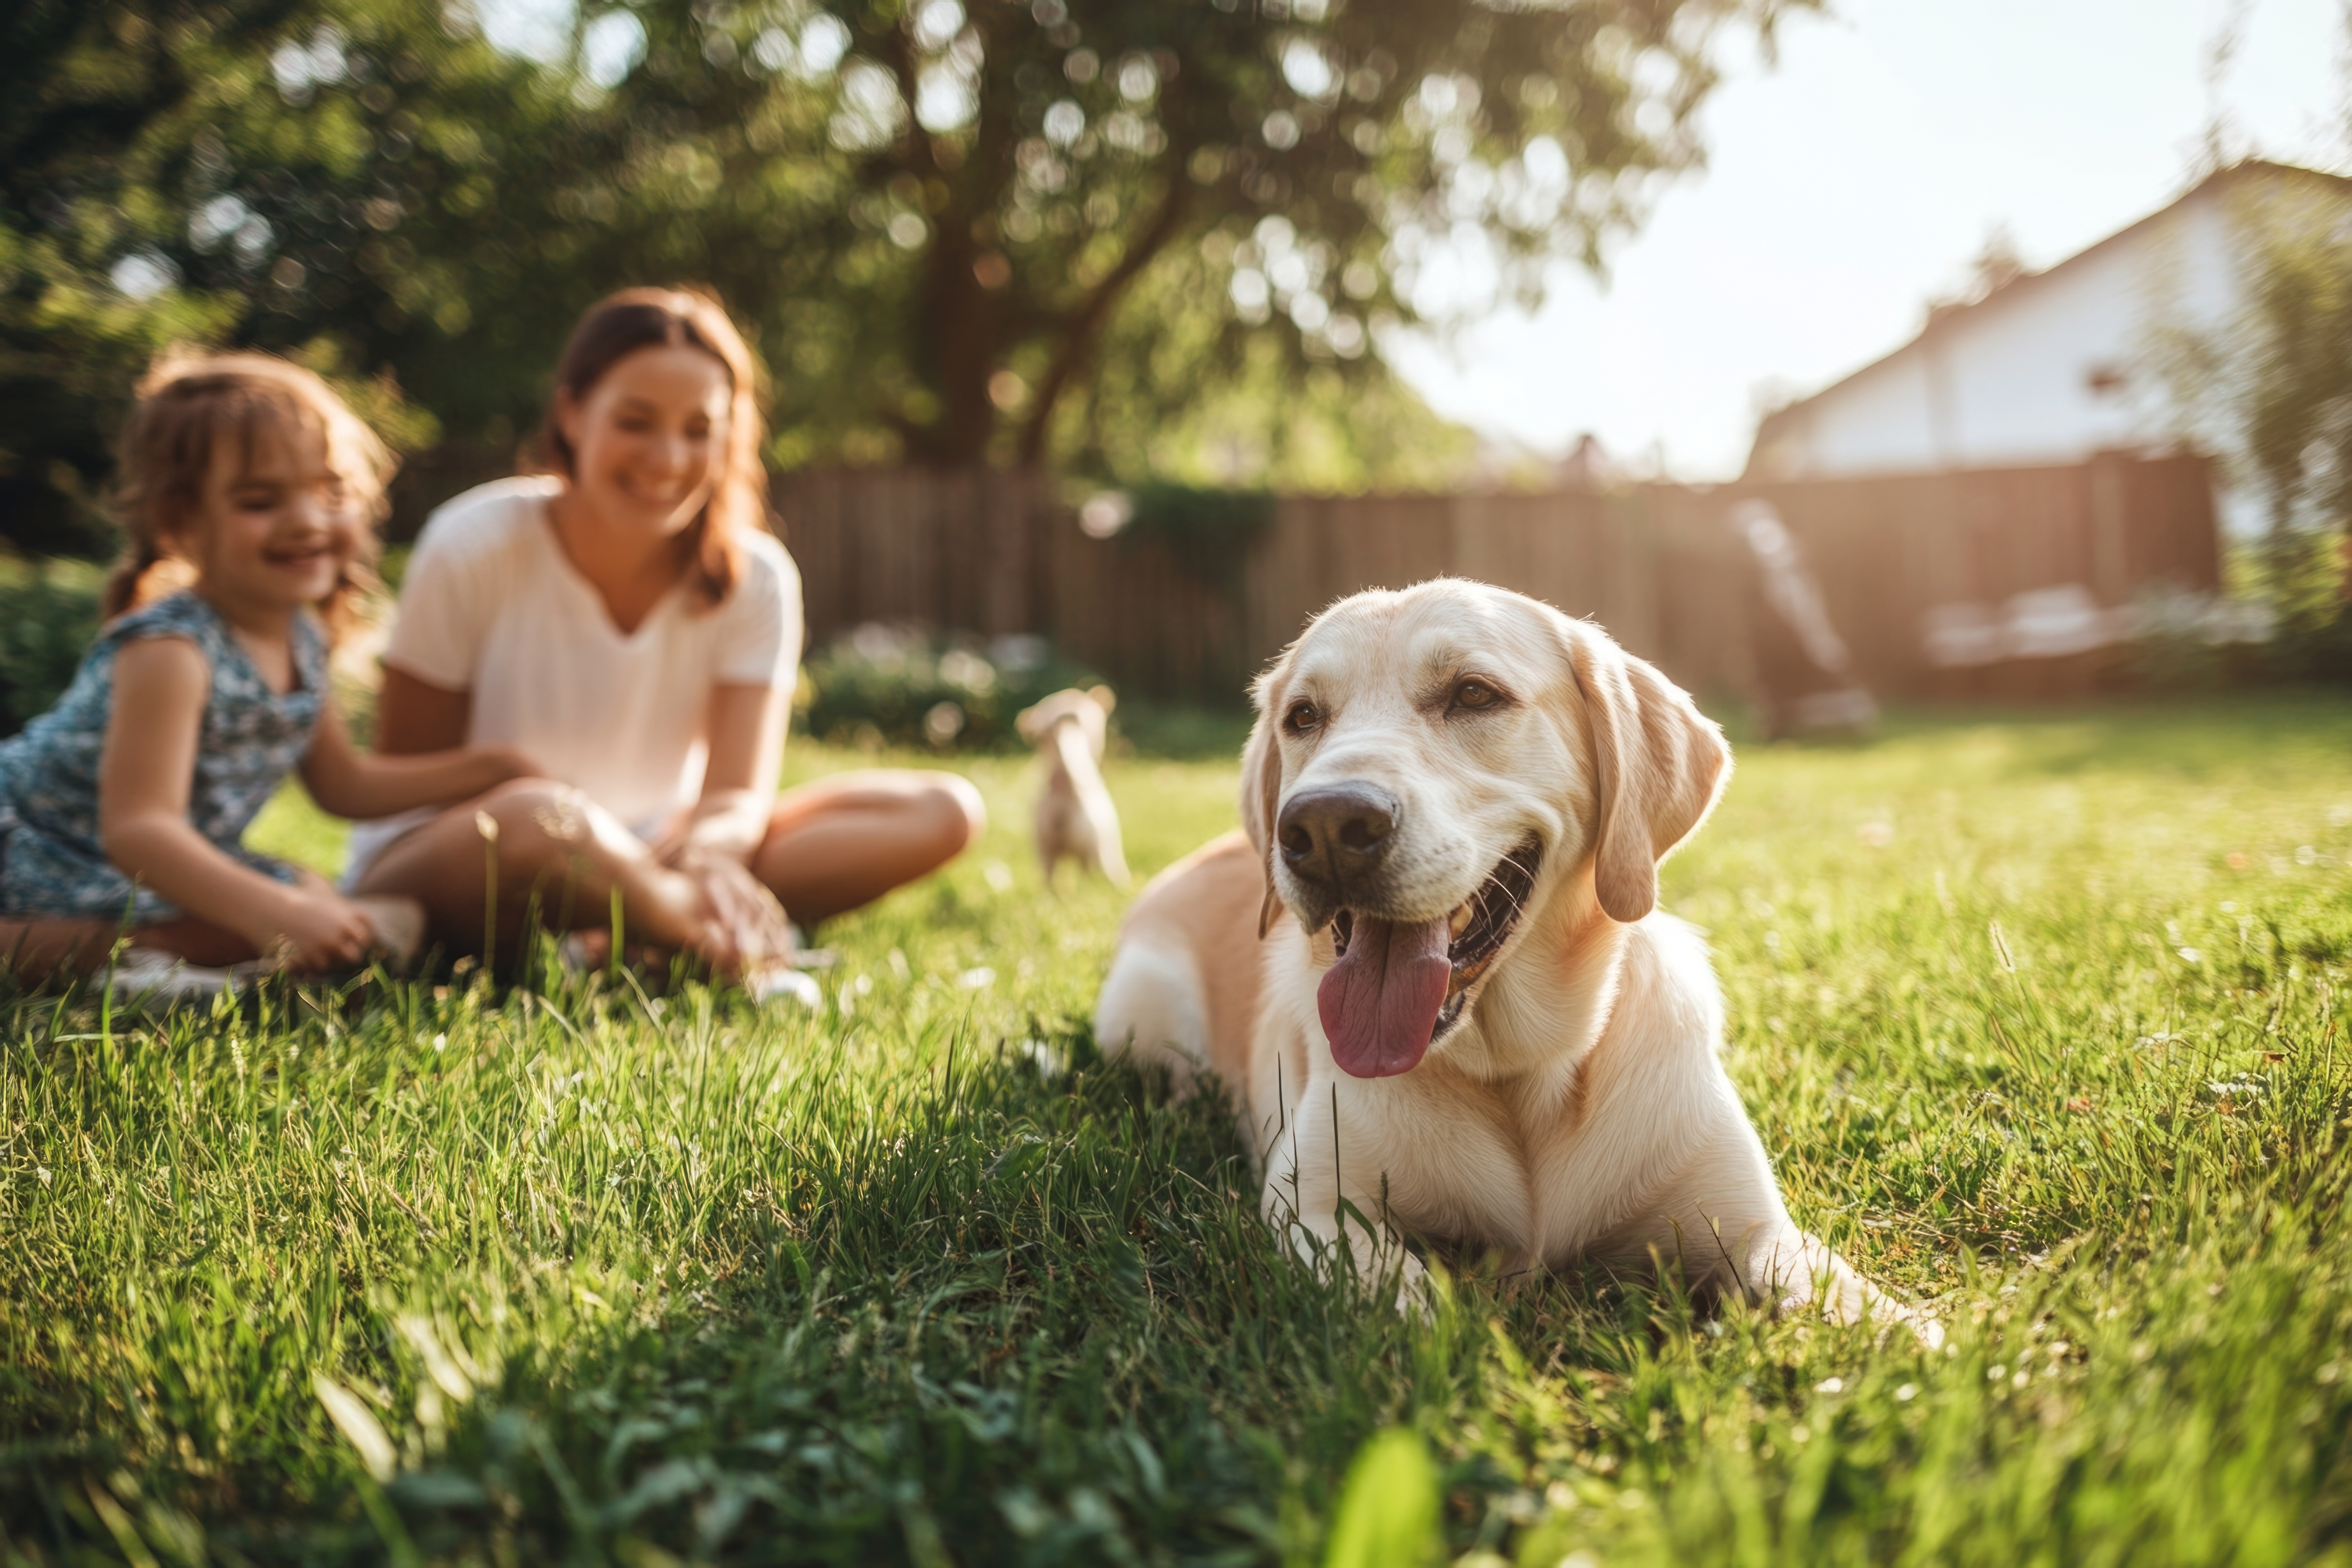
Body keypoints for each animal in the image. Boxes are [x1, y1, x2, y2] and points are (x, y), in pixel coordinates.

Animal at [1096, 581, 1928, 1335]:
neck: (1519, 1075)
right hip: (1143, 1015)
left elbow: (1875, 1314)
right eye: (1303, 716)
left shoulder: (1751, 1226)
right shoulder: (1316, 1206)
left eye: (1473, 694)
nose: (1324, 826)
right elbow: (1412, 1309)